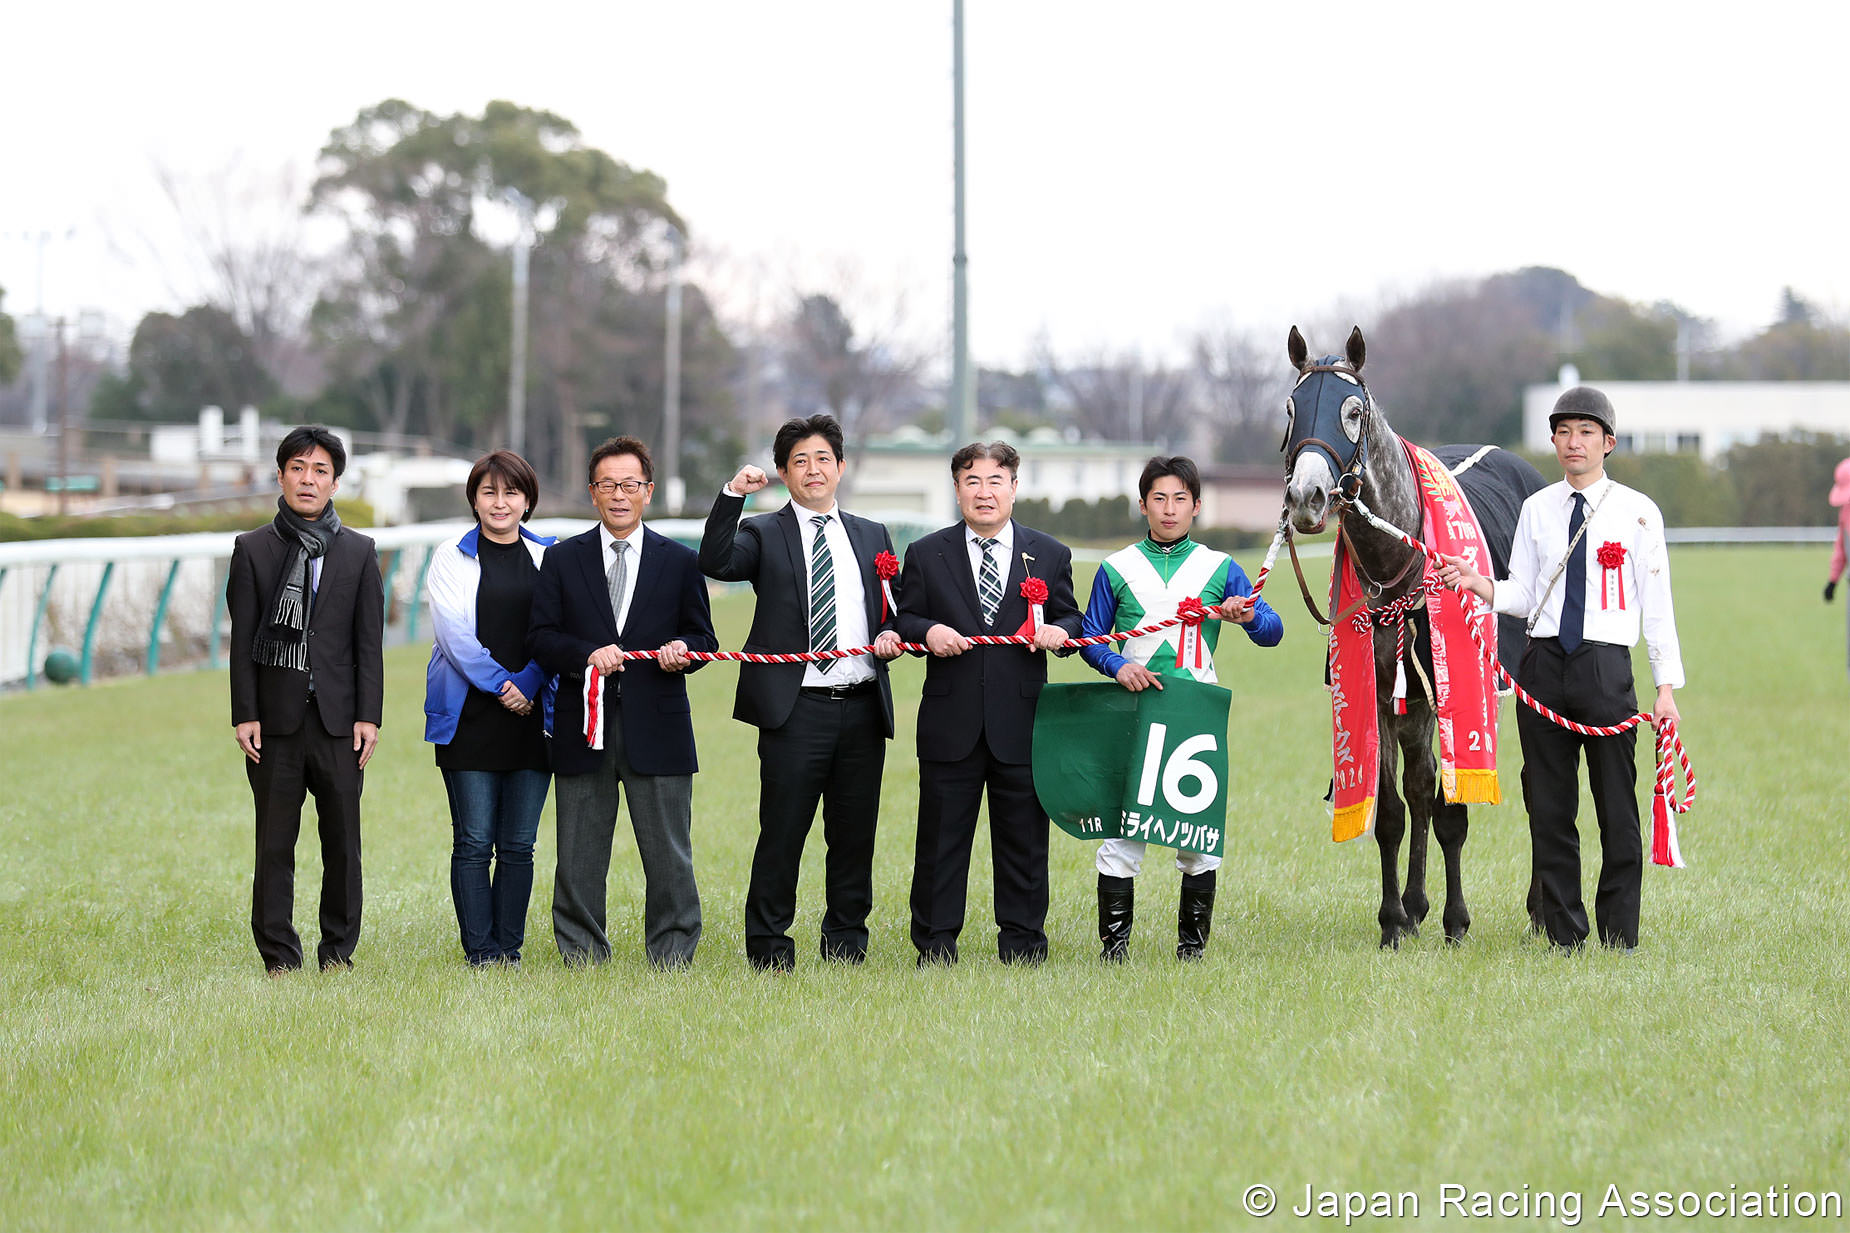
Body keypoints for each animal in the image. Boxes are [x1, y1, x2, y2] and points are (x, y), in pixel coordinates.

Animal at [1280, 323, 1539, 940]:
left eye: (1352, 412)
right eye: (1292, 408)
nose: (1306, 497)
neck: (1400, 557)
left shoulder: (1450, 688)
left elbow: (1451, 809)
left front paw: (1456, 918)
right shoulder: (1378, 690)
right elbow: (1396, 811)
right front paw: (1396, 918)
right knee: (1419, 789)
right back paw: (1416, 902)